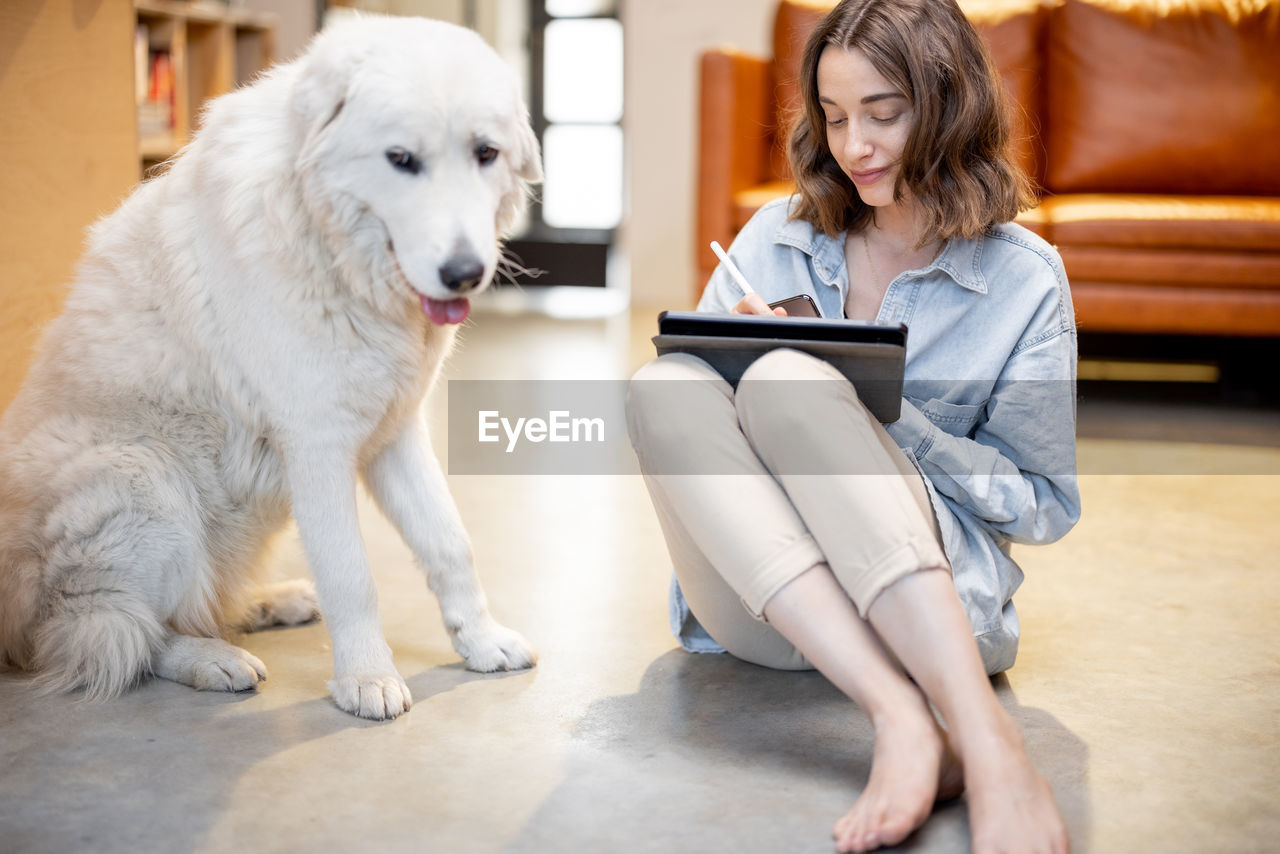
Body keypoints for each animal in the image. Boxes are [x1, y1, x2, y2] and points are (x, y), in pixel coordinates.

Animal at [0, 15, 540, 722]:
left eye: (485, 153)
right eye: (401, 160)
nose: (464, 273)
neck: (334, 253)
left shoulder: (395, 433)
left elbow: (450, 543)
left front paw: (480, 641)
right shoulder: (318, 448)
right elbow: (352, 577)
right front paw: (366, 679)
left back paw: (268, 604)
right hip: (142, 476)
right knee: (117, 632)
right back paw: (212, 658)